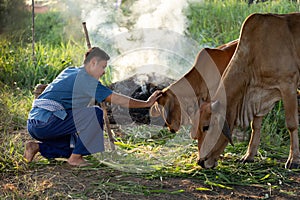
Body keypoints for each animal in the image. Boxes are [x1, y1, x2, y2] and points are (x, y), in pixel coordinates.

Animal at [196, 12, 300, 169]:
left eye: (206, 127)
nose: (200, 161)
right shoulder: (260, 96)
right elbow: (255, 125)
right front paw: (249, 156)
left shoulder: (288, 85)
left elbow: (291, 124)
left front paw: (293, 159)